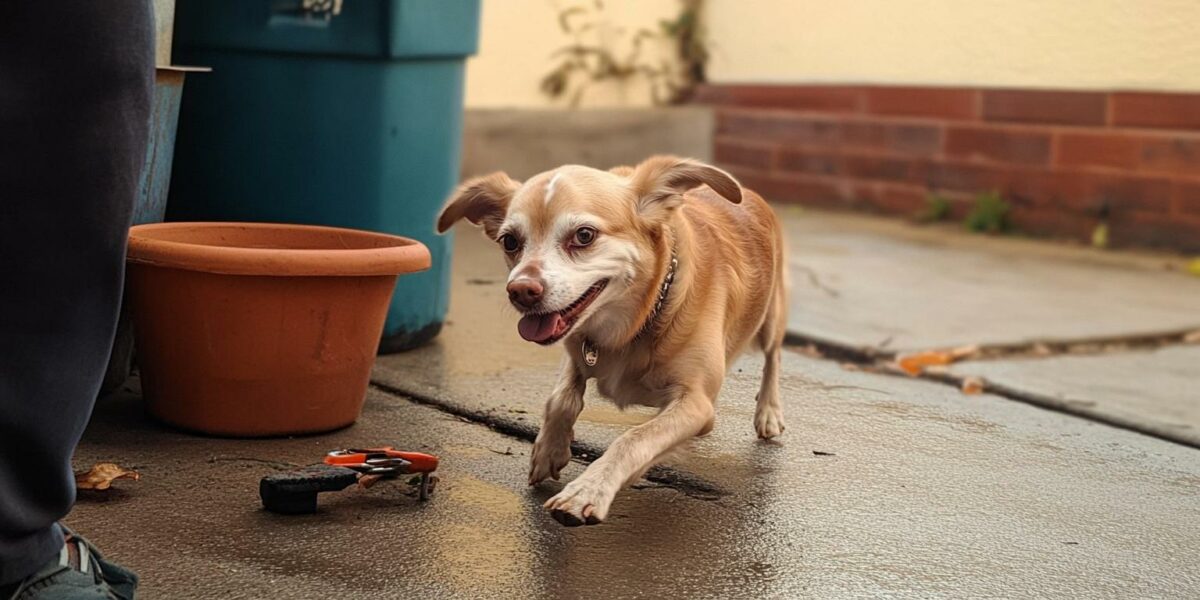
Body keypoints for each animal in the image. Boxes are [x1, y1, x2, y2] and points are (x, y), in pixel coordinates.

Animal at [439, 154, 787, 525]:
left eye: (584, 235)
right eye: (509, 241)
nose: (520, 290)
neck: (635, 322)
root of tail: (751, 194)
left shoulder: (696, 403)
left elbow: (635, 438)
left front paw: (587, 491)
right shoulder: (574, 348)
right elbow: (561, 398)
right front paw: (549, 450)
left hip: (770, 320)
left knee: (773, 358)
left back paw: (768, 412)